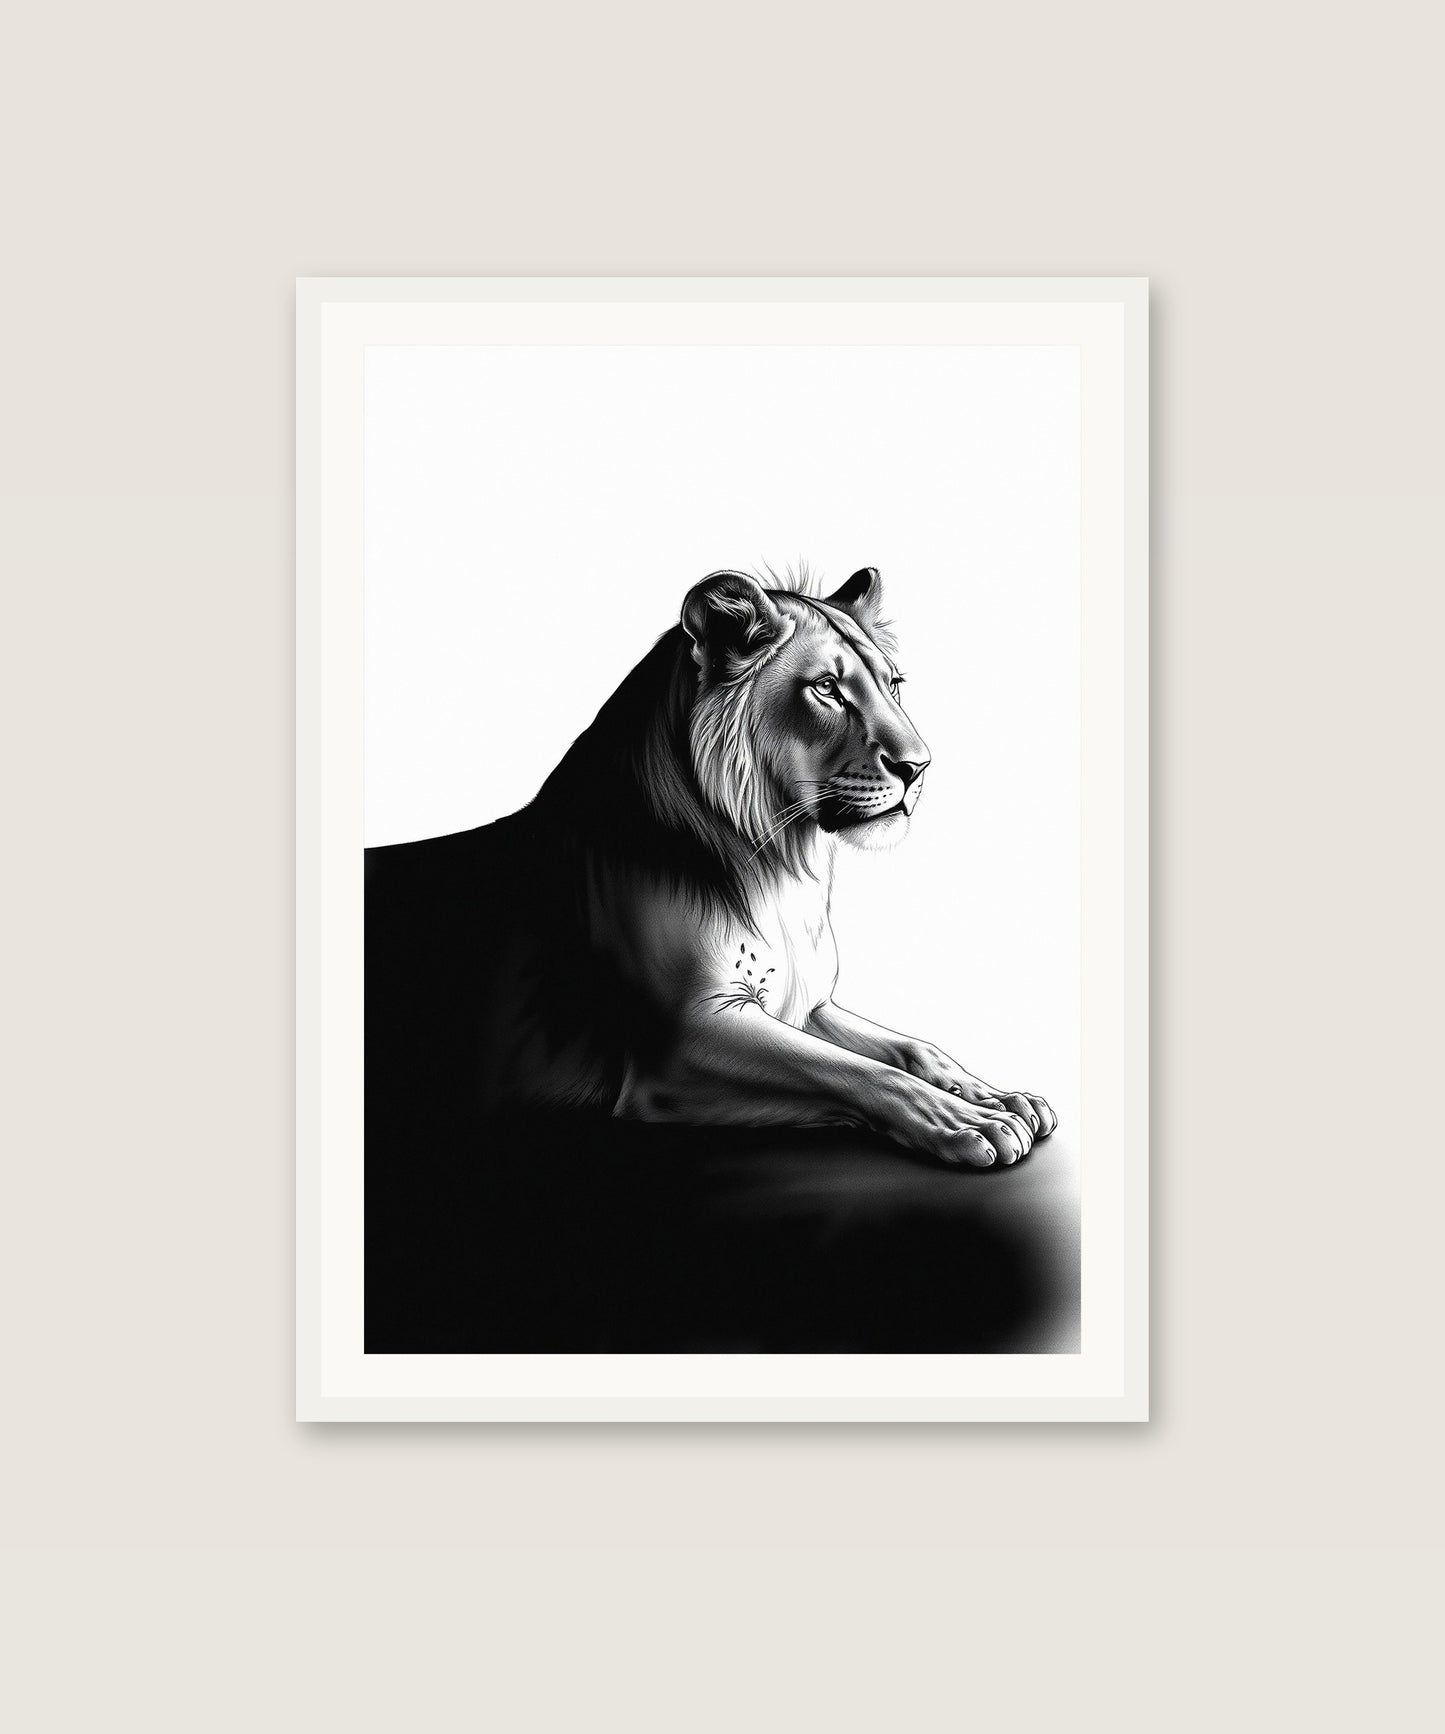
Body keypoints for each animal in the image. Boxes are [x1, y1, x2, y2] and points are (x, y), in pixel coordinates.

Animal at [365, 566, 1055, 1169]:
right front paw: (971, 1123)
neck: (783, 865)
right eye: (827, 689)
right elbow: (860, 1073)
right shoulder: (682, 1040)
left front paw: (999, 1096)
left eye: (894, 685)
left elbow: (910, 1048)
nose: (919, 766)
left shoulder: (806, 1004)